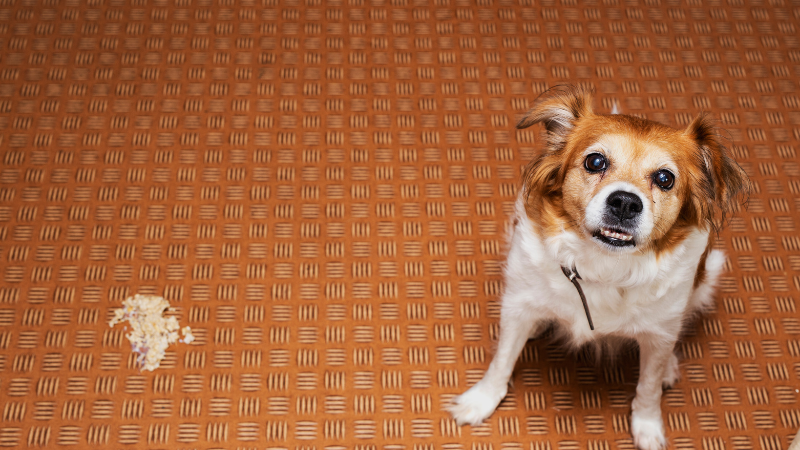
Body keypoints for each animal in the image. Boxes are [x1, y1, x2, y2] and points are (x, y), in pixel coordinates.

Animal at [450, 87, 752, 450]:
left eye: (665, 179)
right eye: (595, 162)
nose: (624, 202)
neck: (603, 266)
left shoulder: (660, 332)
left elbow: (648, 388)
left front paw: (648, 427)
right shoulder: (517, 304)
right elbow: (502, 359)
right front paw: (481, 400)